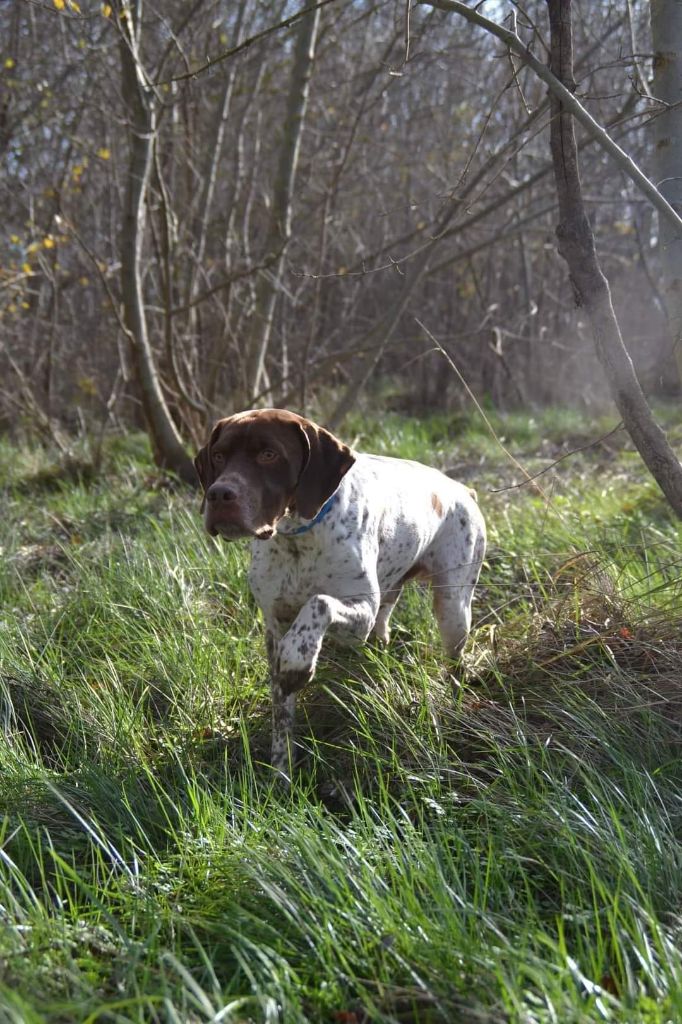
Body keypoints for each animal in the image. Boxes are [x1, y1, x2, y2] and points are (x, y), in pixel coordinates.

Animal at [193, 407, 485, 774]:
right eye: (218, 456)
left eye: (269, 454)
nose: (219, 494)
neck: (298, 538)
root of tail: (463, 489)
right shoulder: (275, 627)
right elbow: (282, 716)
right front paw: (281, 771)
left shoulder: (356, 616)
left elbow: (318, 604)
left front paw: (299, 661)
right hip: (392, 598)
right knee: (384, 625)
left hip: (453, 608)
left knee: (454, 662)